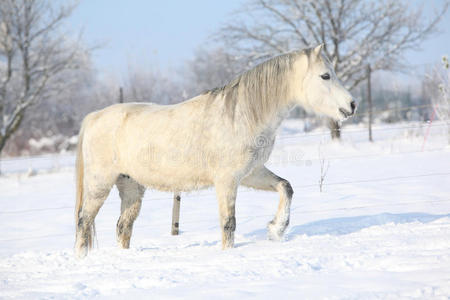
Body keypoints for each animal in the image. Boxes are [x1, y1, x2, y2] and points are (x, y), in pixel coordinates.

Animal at [74, 45, 356, 258]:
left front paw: (276, 230)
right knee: (84, 221)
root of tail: (93, 117)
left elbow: (286, 187)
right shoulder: (227, 181)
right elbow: (228, 223)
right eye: (325, 76)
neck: (241, 116)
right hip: (99, 184)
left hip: (131, 186)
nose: (351, 105)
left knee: (123, 226)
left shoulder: (251, 173)